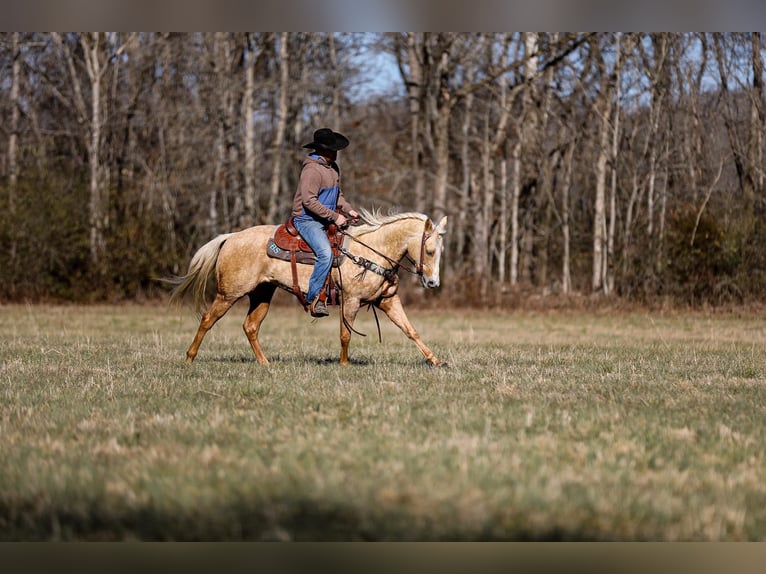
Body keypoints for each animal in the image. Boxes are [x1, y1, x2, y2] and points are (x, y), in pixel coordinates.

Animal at [165, 212, 448, 368]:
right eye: (429, 251)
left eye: (441, 250)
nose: (433, 283)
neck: (371, 251)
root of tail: (230, 237)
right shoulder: (351, 300)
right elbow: (346, 334)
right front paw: (344, 364)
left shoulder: (387, 300)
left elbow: (410, 330)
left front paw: (435, 360)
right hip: (229, 294)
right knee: (207, 319)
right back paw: (189, 358)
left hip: (262, 293)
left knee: (251, 326)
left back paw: (265, 362)